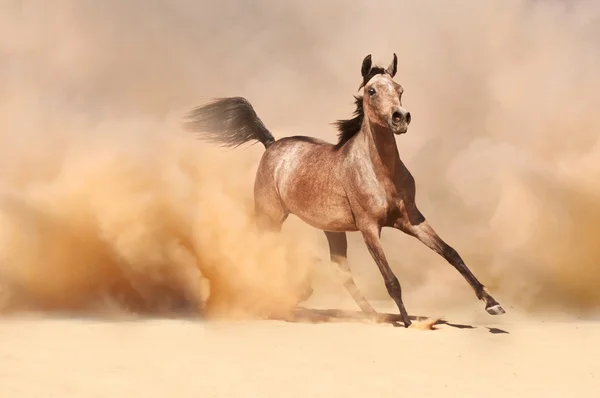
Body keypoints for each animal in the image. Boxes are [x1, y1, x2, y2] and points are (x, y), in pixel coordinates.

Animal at [184, 52, 506, 326]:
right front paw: (406, 322)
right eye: (371, 91)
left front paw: (492, 304)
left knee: (341, 270)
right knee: (262, 252)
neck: (382, 173)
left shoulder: (411, 220)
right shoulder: (368, 227)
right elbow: (391, 279)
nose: (400, 118)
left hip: (332, 230)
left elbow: (452, 253)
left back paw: (371, 315)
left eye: (399, 88)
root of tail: (272, 144)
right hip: (270, 217)